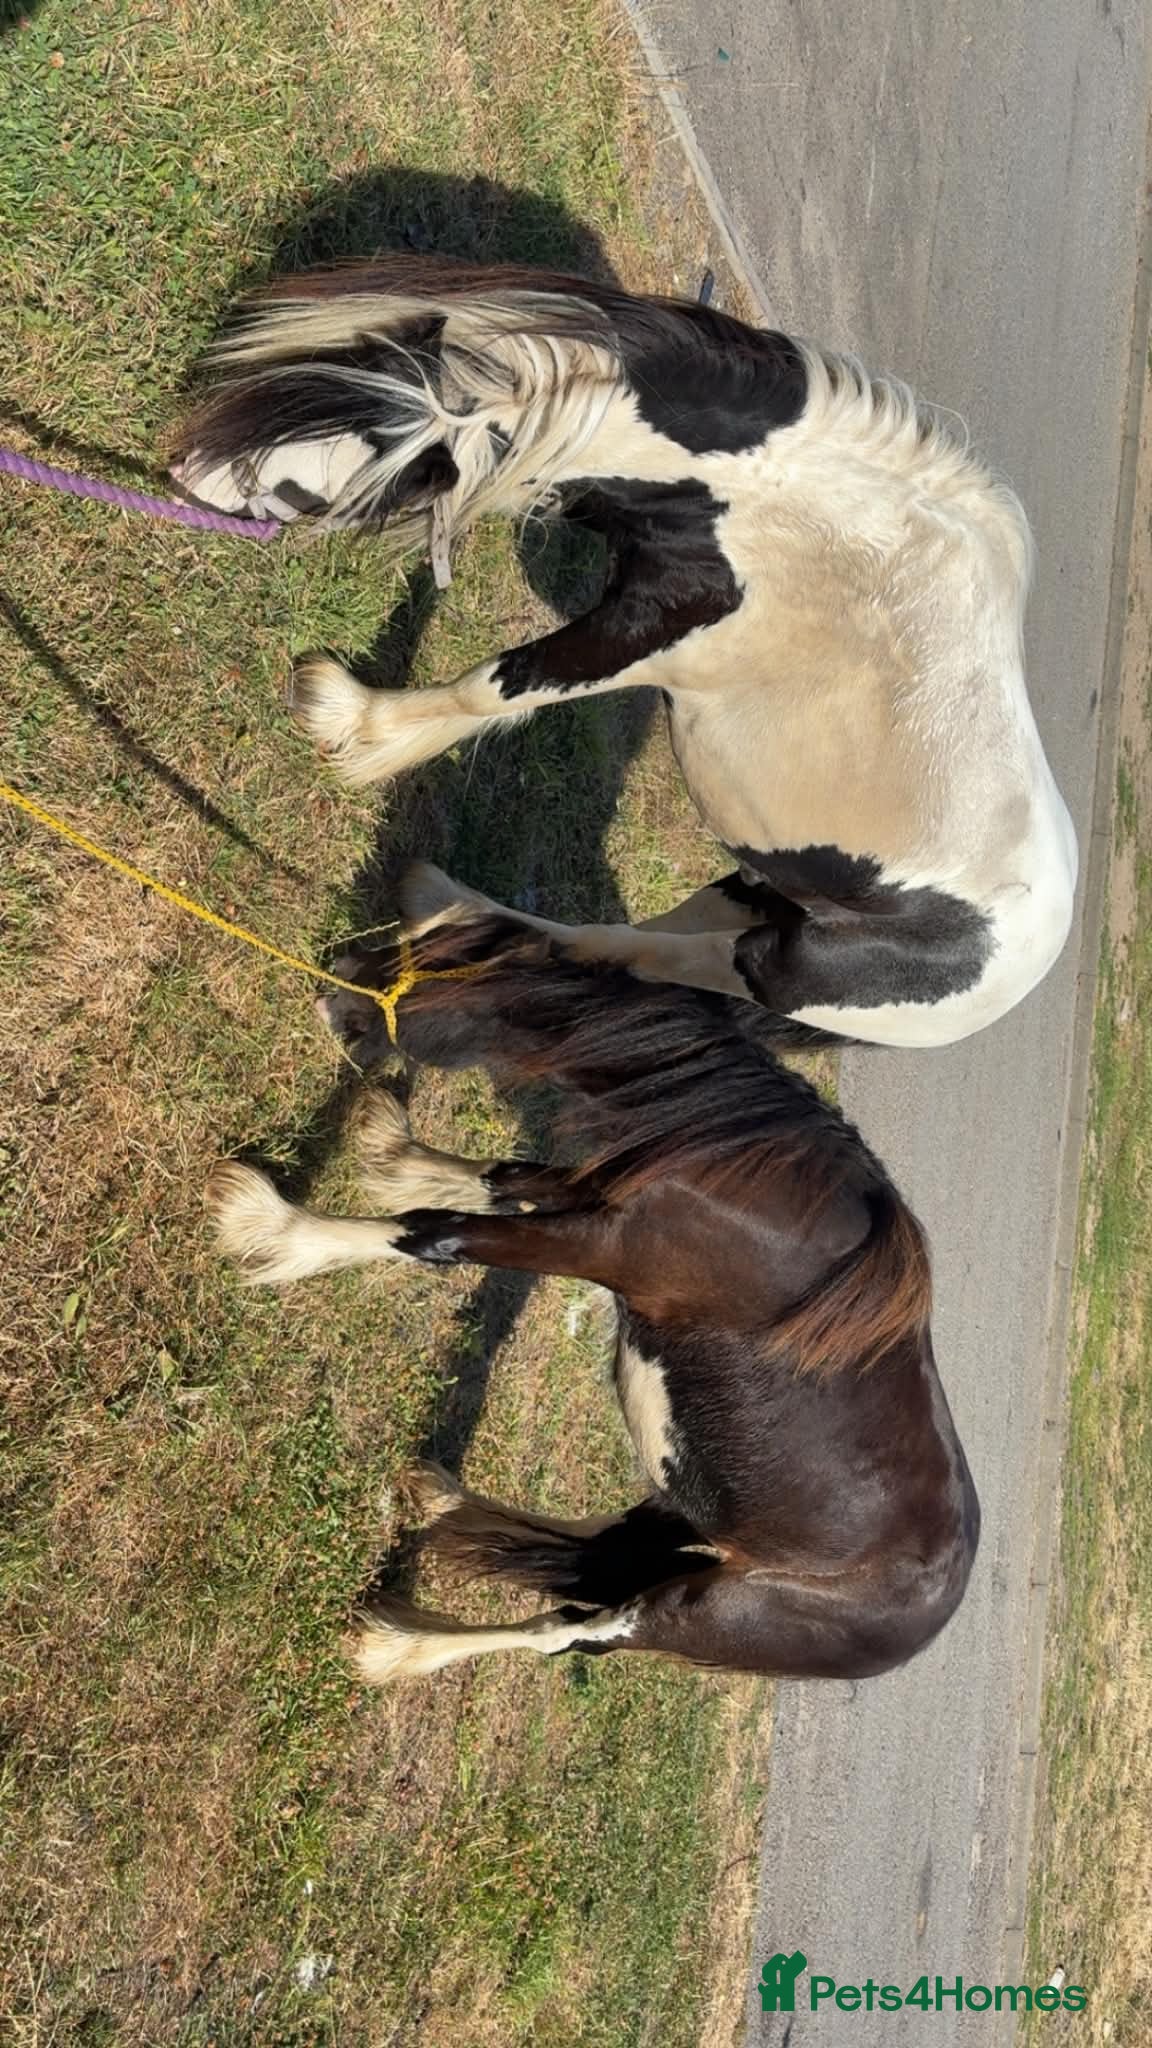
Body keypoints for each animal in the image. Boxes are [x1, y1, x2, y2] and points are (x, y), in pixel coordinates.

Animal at [175, 257, 1077, 1050]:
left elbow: (493, 689)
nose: (190, 474)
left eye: (388, 452)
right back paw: (444, 901)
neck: (794, 516)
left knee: (639, 955)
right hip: (757, 891)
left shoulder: (641, 635)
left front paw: (351, 726)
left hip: (768, 962)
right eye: (346, 367)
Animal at [205, 907, 979, 1684]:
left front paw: (273, 1229)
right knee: (595, 1548)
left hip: (698, 1609)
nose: (337, 987)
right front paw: (392, 1154)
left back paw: (403, 1648)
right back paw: (441, 1501)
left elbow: (438, 1234)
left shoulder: (595, 1246)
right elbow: (499, 1178)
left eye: (440, 971)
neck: (753, 1186)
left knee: (568, 1629)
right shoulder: (589, 1191)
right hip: (686, 1509)